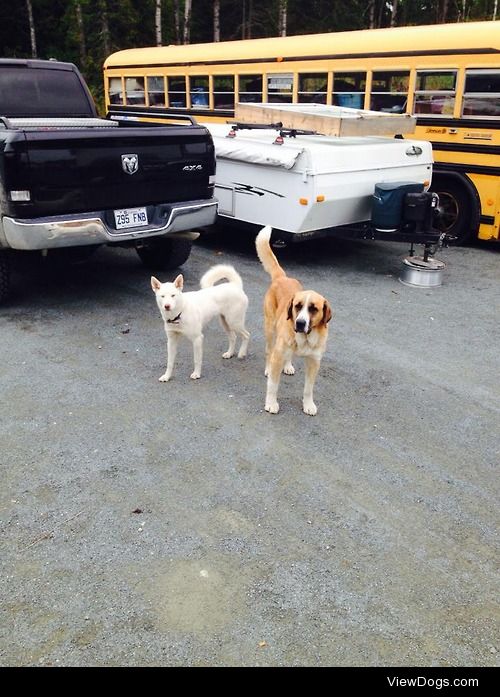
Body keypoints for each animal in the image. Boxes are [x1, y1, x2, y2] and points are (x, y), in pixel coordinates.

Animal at [258, 226, 332, 416]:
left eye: (313, 309)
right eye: (298, 306)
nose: (299, 323)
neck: (305, 339)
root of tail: (282, 277)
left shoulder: (314, 362)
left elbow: (308, 389)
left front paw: (308, 404)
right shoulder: (278, 354)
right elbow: (273, 385)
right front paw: (271, 403)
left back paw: (288, 365)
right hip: (270, 330)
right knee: (269, 351)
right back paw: (268, 368)